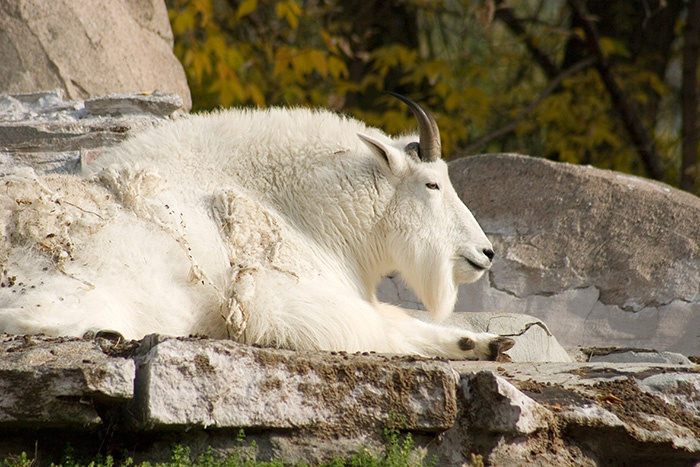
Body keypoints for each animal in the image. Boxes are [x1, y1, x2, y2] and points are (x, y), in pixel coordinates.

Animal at [0, 94, 514, 360]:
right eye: (432, 184)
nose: (485, 253)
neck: (301, 213)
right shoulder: (281, 301)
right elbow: (378, 327)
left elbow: (399, 318)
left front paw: (485, 342)